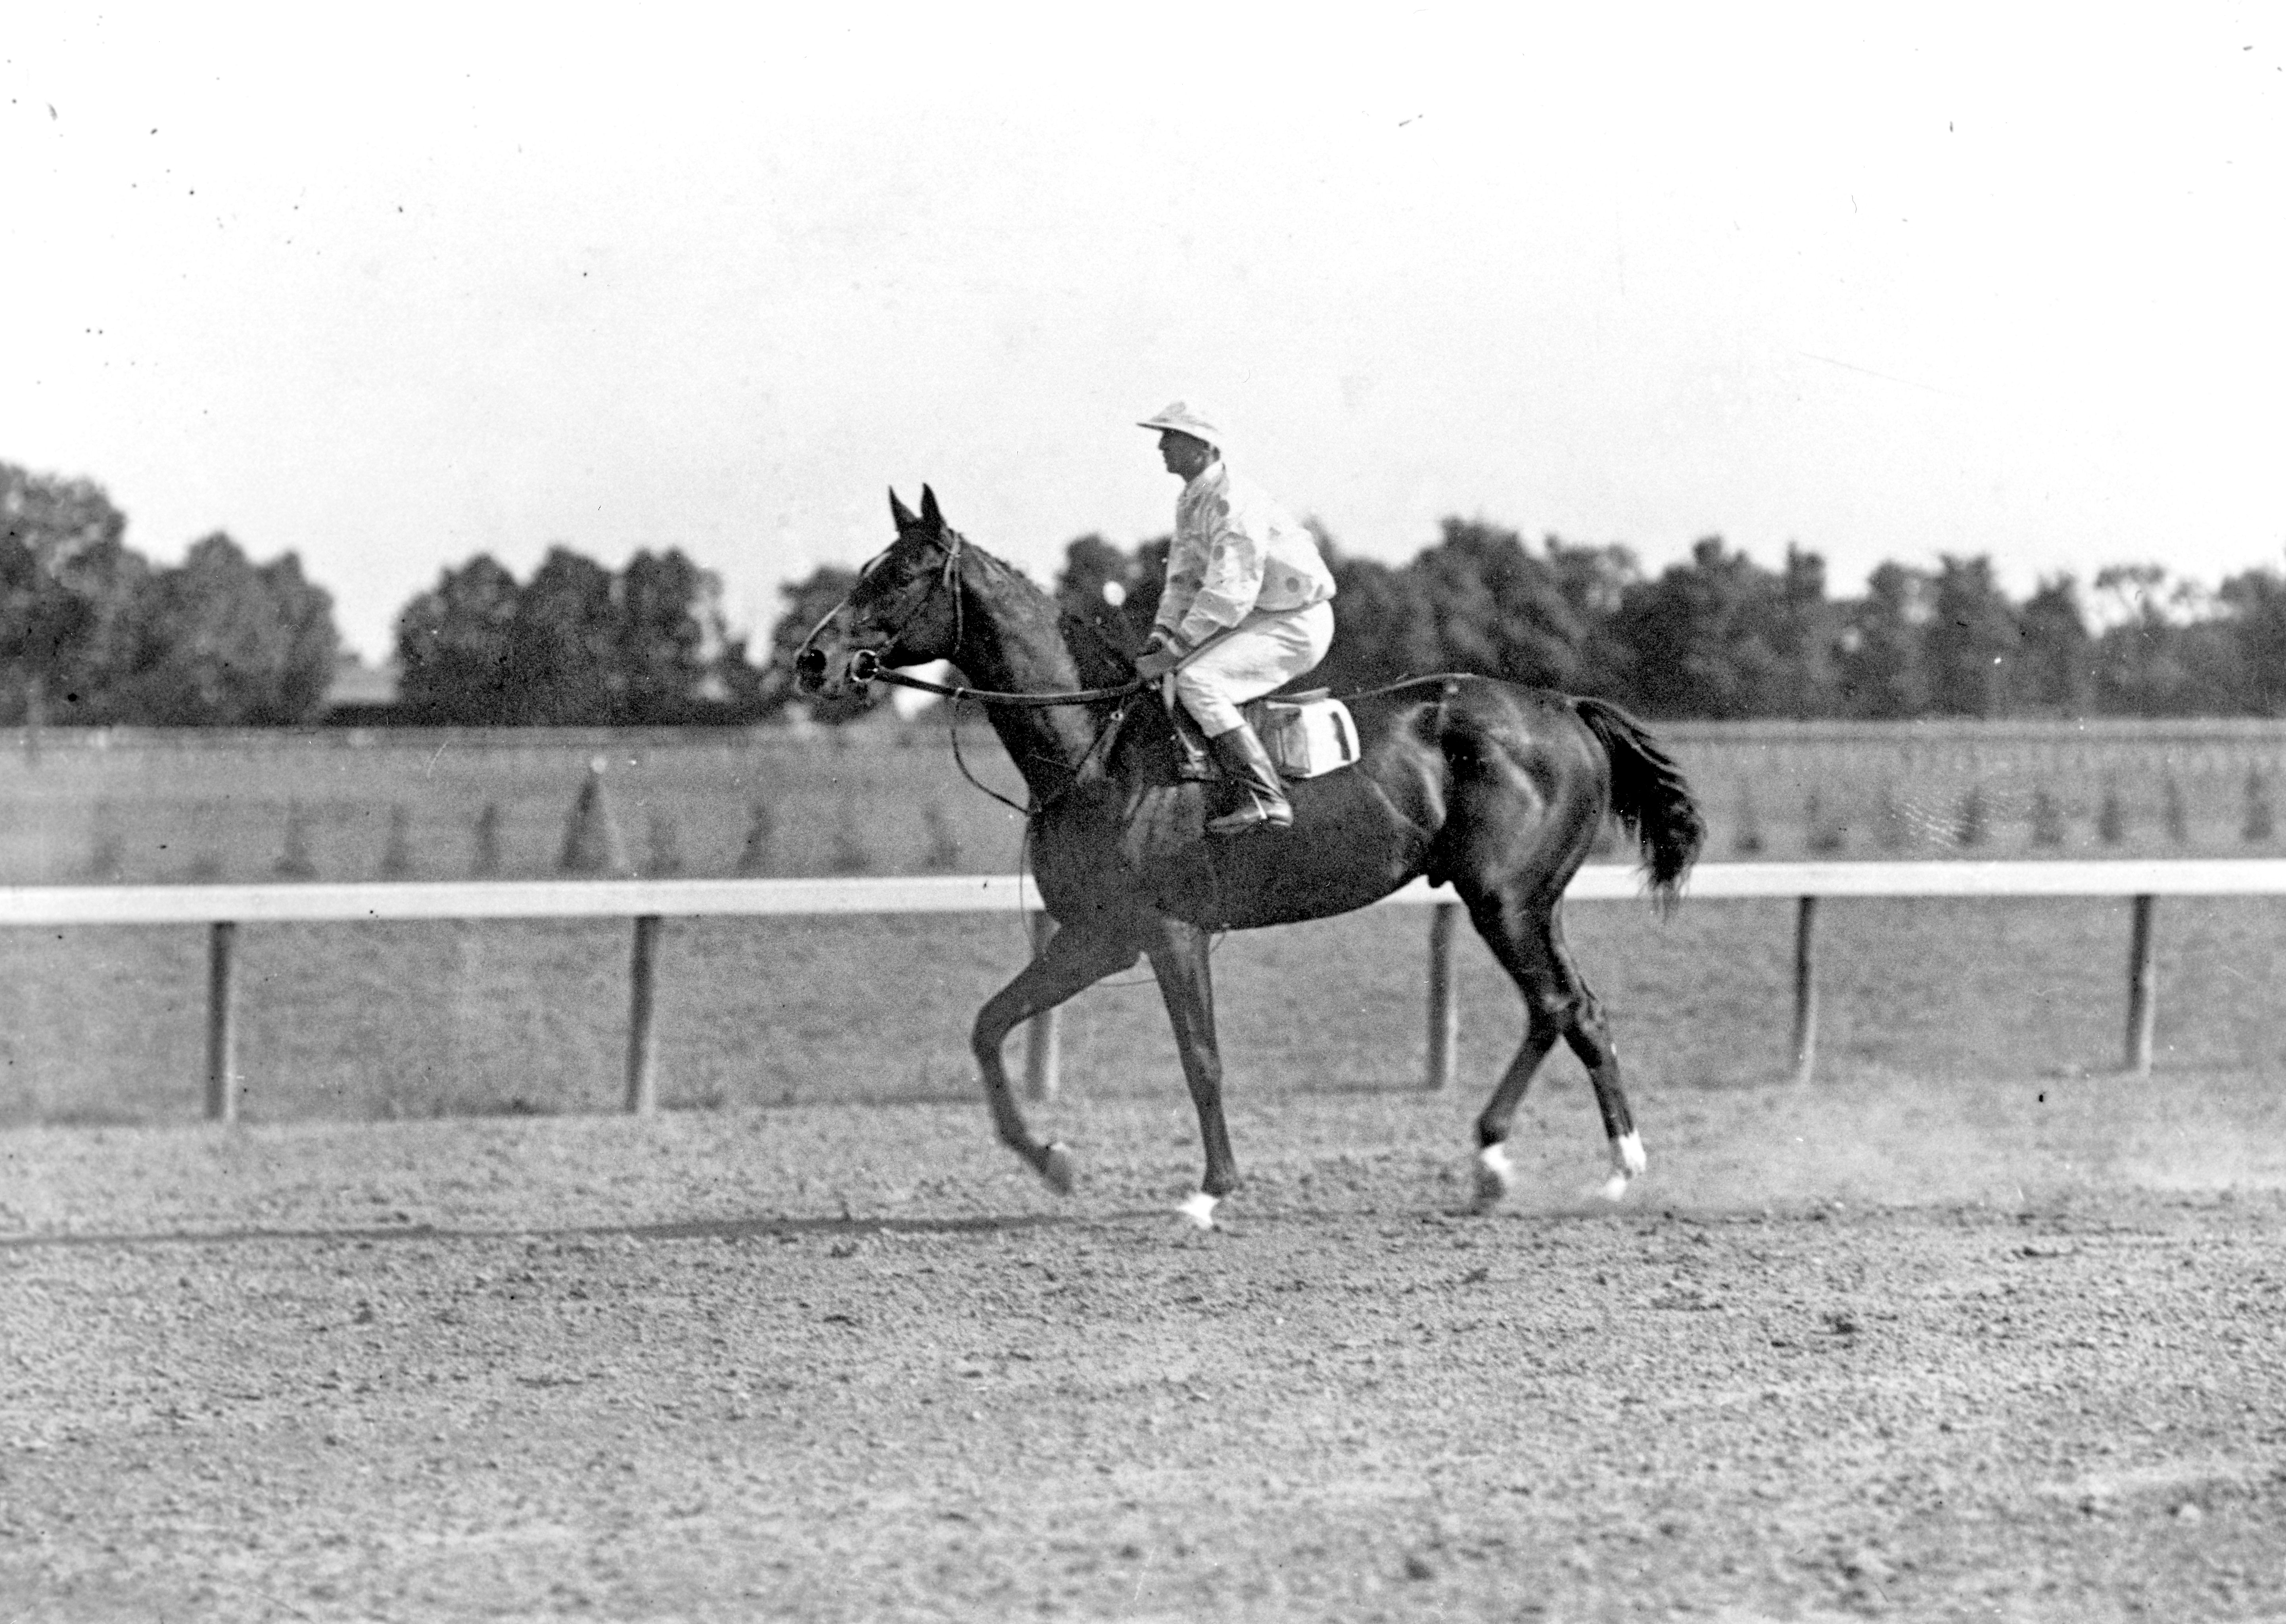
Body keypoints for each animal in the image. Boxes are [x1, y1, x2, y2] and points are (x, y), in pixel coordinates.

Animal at [795, 489, 1710, 1226]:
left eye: (899, 575)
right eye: (867, 568)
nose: (813, 659)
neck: (1098, 747)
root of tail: (1563, 704)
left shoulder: (1169, 932)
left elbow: (1200, 1058)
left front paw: (1208, 1192)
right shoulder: (1098, 937)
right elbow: (988, 1026)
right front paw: (1052, 1161)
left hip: (1504, 898)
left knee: (1560, 1005)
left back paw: (1559, 1165)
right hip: (1523, 902)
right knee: (1568, 1010)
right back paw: (1550, 1165)